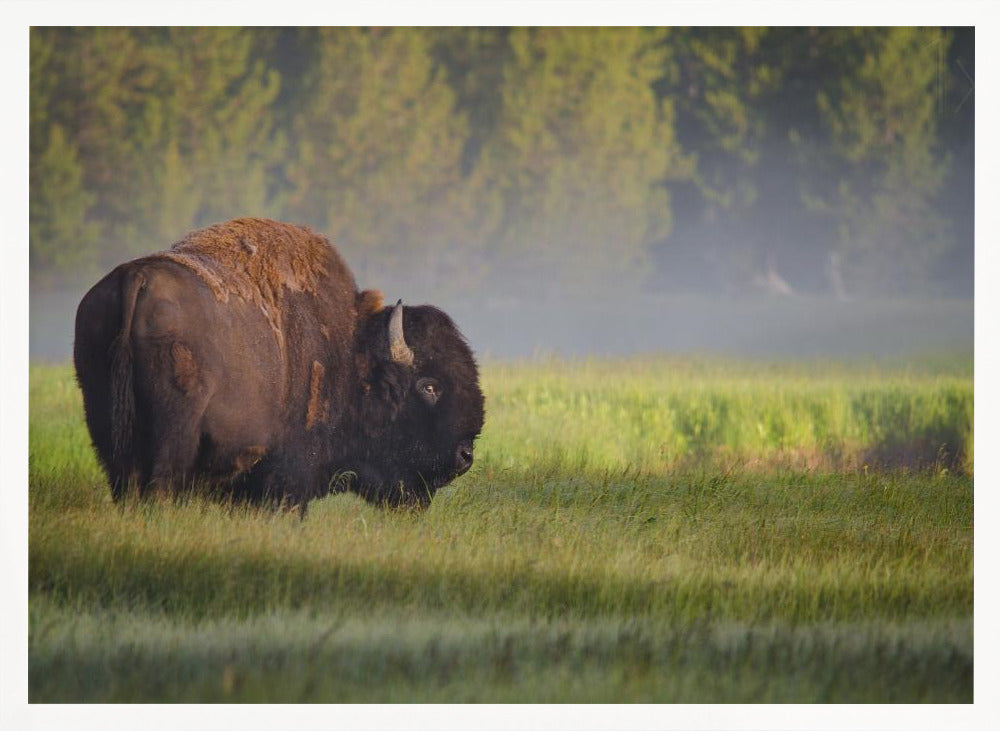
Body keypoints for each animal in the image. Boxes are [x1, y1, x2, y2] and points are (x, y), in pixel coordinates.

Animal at [73, 218, 485, 510]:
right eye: (429, 385)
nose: (465, 456)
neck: (349, 349)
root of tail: (136, 278)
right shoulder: (290, 474)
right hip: (173, 434)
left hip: (106, 425)